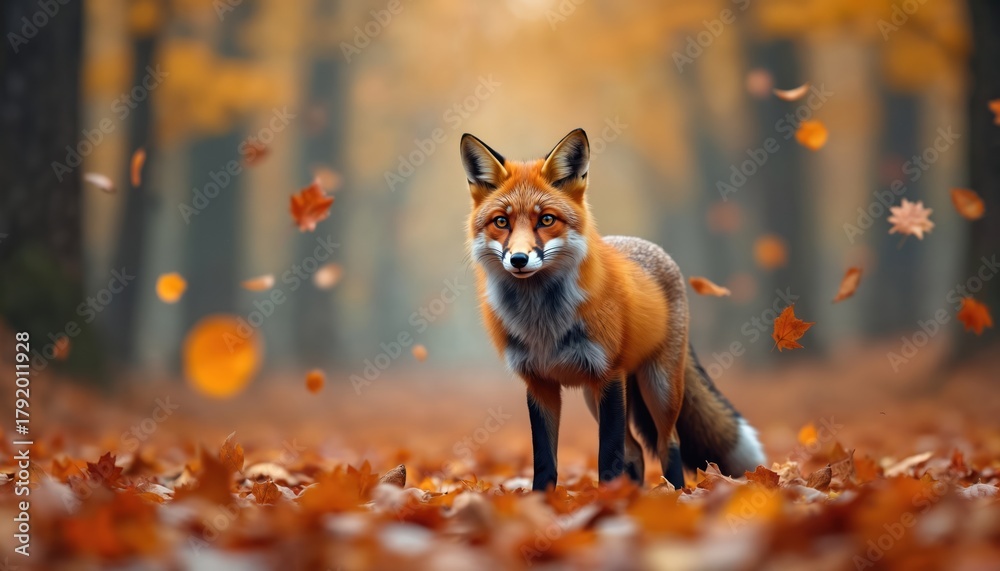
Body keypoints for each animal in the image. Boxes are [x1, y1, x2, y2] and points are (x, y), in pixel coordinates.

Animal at [461, 128, 766, 491]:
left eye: (546, 219)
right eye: (501, 221)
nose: (518, 259)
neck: (544, 323)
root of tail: (650, 247)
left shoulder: (608, 375)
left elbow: (608, 455)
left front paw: (605, 500)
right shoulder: (540, 384)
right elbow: (545, 461)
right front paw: (544, 500)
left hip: (658, 386)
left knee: (667, 442)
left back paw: (675, 494)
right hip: (597, 395)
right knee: (635, 449)